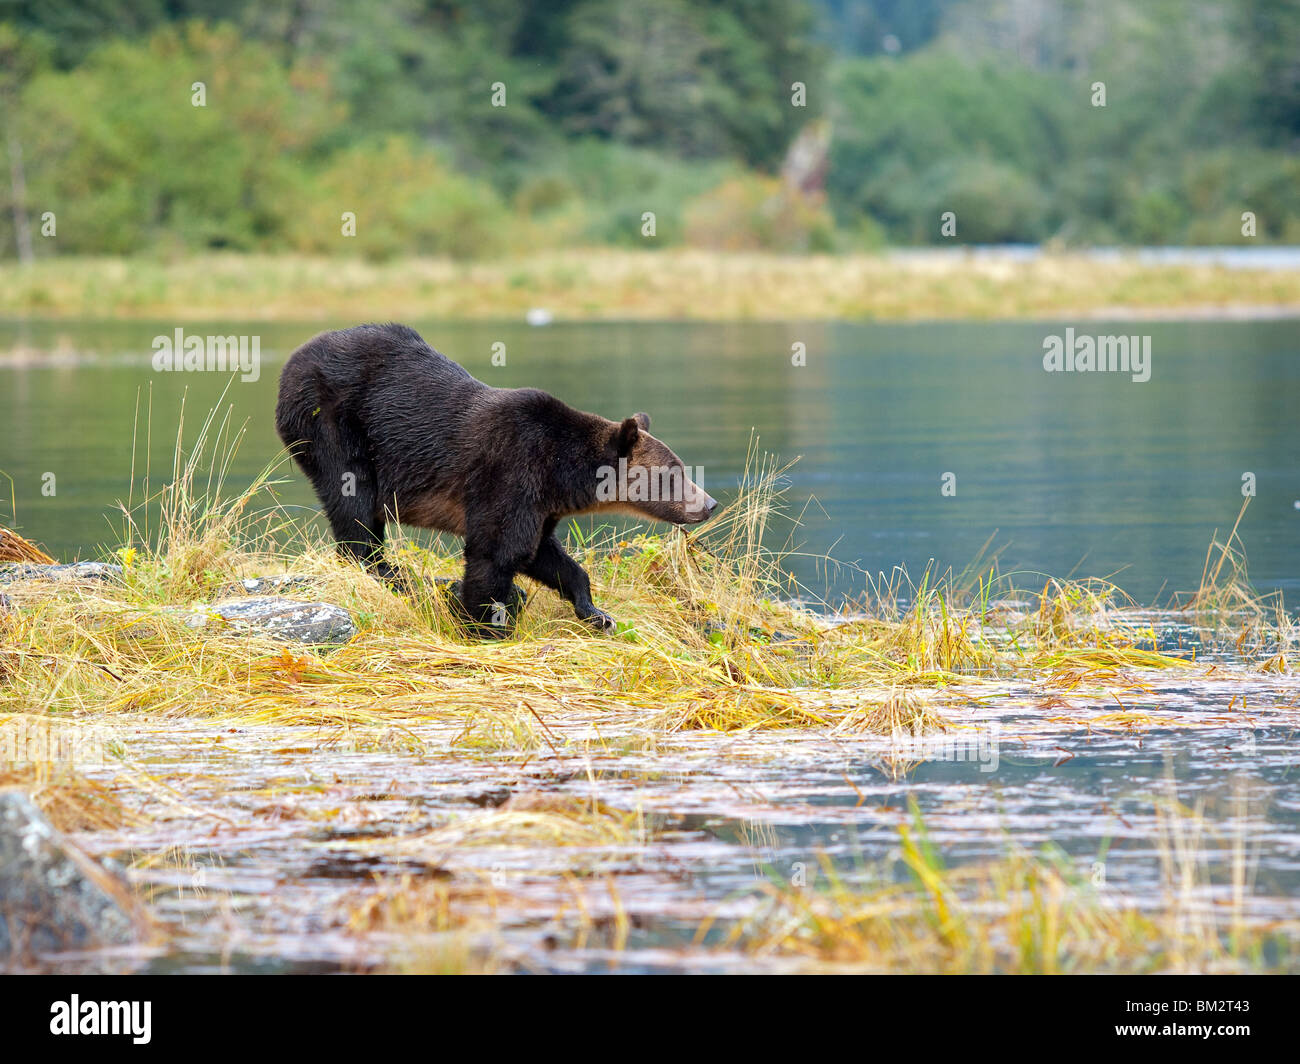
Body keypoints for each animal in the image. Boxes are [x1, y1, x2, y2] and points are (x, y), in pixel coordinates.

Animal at [276, 323, 722, 634]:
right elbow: (493, 555)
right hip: (332, 423)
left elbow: (540, 553)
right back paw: (388, 572)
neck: (561, 469)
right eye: (673, 473)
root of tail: (294, 358)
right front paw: (480, 624)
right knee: (353, 502)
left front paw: (596, 612)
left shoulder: (541, 504)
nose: (709, 503)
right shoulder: (509, 473)